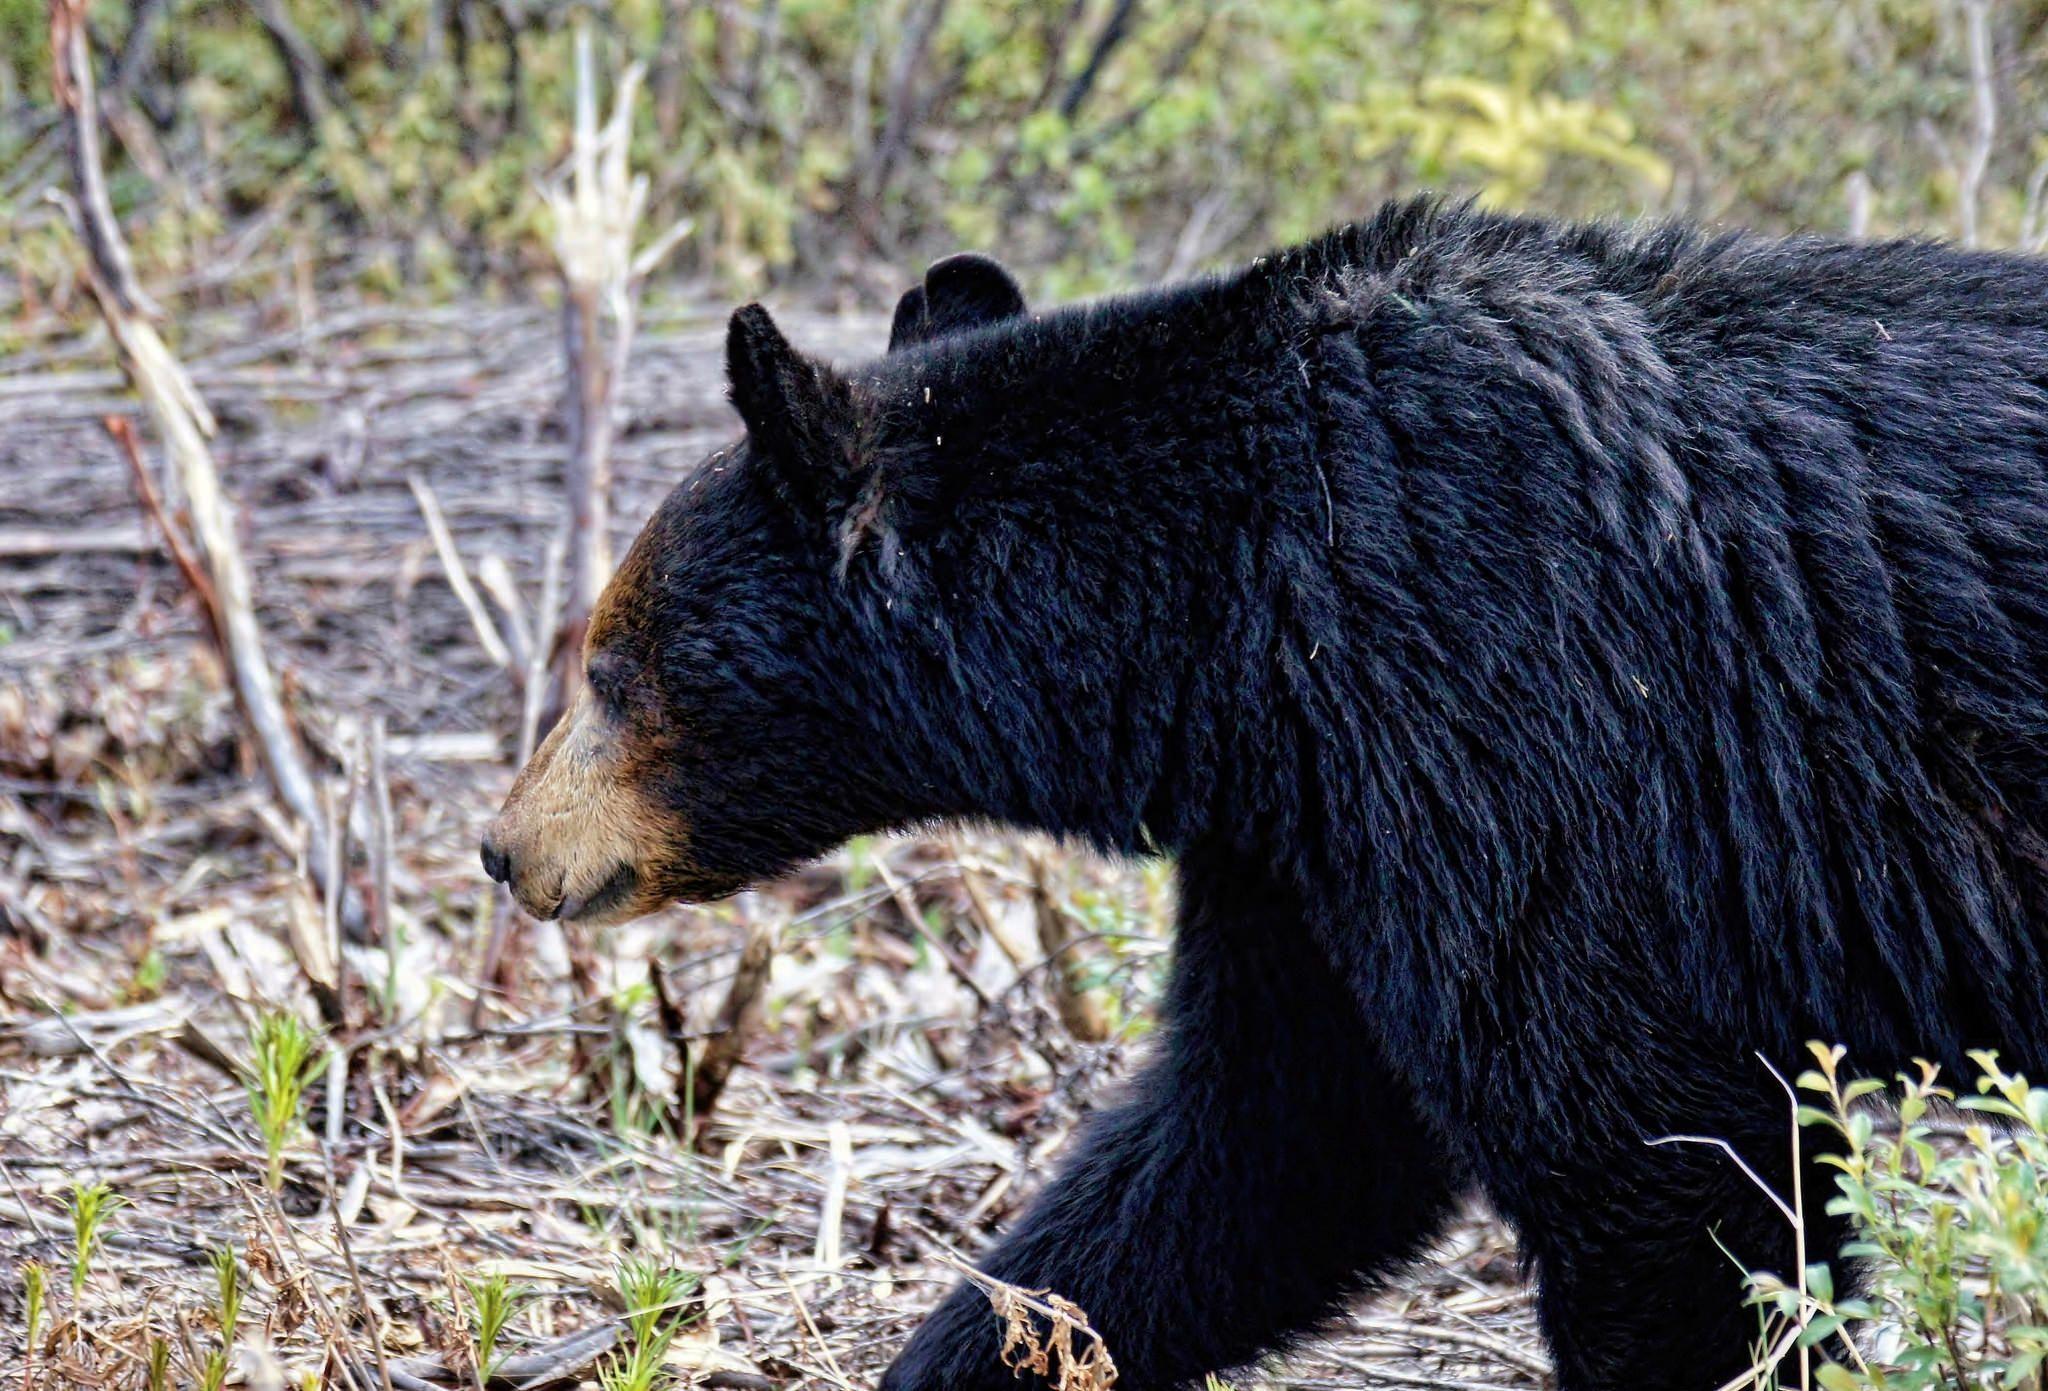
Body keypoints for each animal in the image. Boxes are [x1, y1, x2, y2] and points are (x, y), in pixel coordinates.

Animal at [481, 197, 2048, 1391]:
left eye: (611, 666)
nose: (505, 847)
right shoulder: (1307, 822)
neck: (1231, 602)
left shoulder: (1506, 721)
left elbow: (1653, 1156)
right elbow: (1271, 1137)